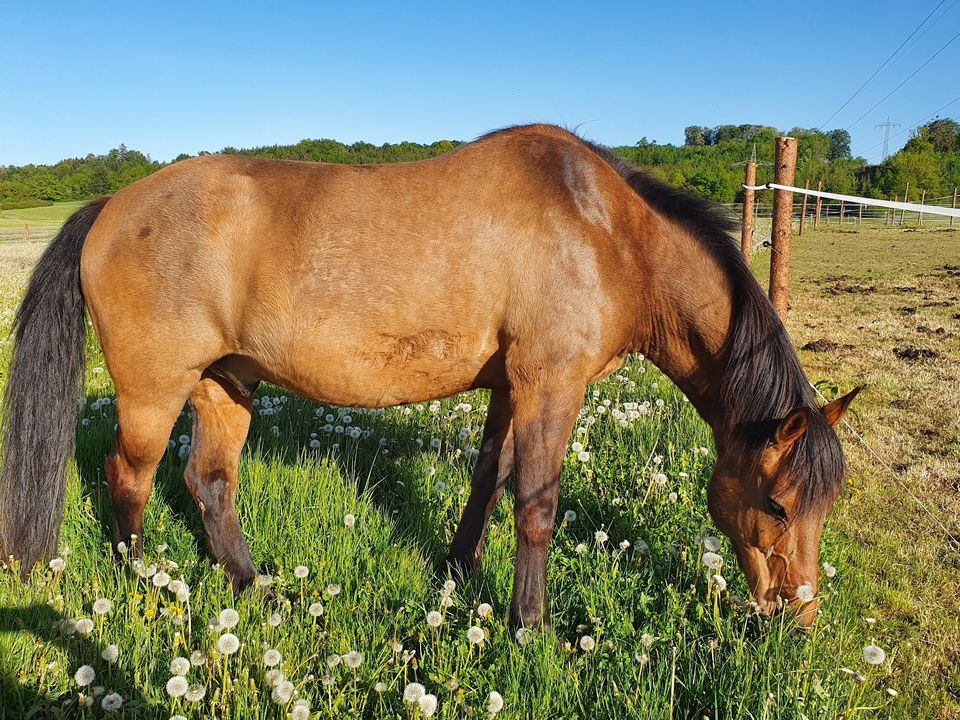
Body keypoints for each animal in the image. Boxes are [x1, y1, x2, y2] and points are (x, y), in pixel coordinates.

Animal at [0, 125, 856, 632]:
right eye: (779, 505)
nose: (796, 617)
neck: (606, 231)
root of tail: (113, 203)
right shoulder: (553, 383)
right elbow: (537, 507)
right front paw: (530, 626)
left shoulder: (513, 386)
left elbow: (489, 477)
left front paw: (460, 565)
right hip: (155, 389)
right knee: (129, 477)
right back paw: (138, 585)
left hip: (226, 383)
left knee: (208, 482)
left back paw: (251, 585)